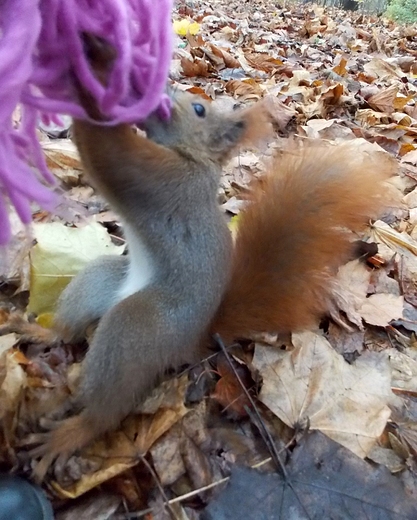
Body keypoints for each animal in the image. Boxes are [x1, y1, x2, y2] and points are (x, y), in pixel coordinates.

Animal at [30, 37, 392, 468]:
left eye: (199, 109)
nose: (164, 94)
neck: (195, 159)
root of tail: (194, 340)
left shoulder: (166, 181)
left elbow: (112, 157)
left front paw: (94, 66)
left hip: (138, 326)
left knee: (106, 408)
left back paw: (71, 432)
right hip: (100, 279)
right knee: (72, 324)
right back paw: (41, 333)